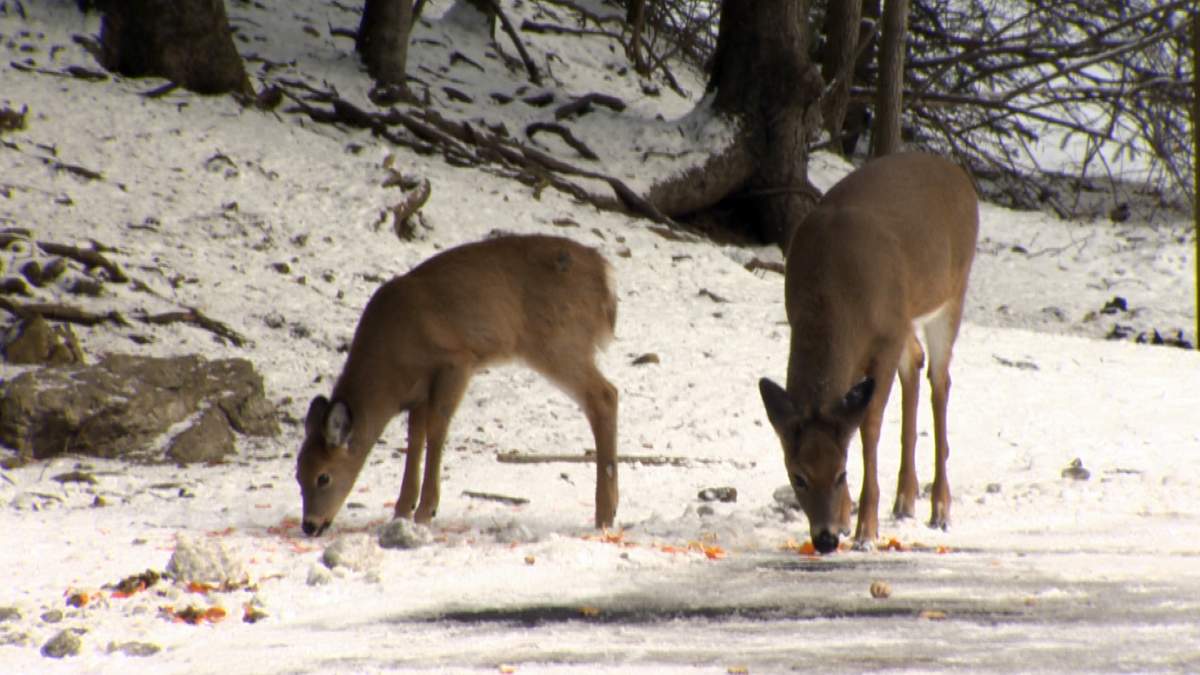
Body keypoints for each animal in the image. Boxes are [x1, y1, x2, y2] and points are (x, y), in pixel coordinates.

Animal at [296, 234, 619, 536]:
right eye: (298, 475)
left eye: (323, 477)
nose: (310, 525)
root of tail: (604, 275)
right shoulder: (419, 392)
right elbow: (415, 438)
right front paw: (402, 510)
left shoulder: (457, 361)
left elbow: (437, 430)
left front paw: (426, 511)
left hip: (559, 343)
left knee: (605, 395)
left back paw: (604, 514)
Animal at [758, 151, 978, 554]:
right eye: (797, 476)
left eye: (841, 473)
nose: (825, 539)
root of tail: (957, 172)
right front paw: (847, 520)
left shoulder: (886, 336)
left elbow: (870, 425)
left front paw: (865, 530)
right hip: (908, 315)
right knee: (916, 361)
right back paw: (905, 499)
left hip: (952, 291)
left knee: (940, 380)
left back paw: (940, 508)